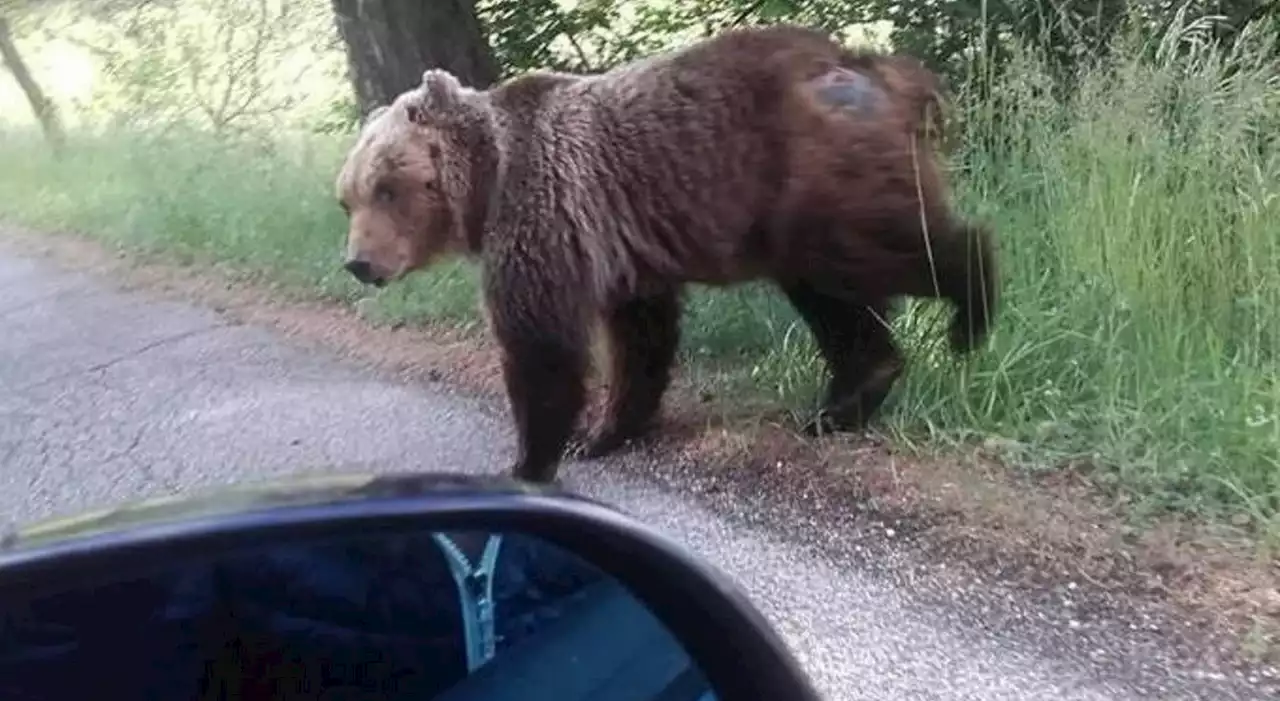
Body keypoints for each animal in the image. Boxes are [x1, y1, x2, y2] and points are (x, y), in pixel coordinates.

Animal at [337, 21, 998, 480]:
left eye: (387, 186)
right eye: (348, 199)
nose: (358, 263)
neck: (486, 180)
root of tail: (868, 66)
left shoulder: (543, 212)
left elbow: (539, 343)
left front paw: (532, 457)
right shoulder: (621, 251)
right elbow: (640, 339)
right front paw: (605, 432)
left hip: (806, 176)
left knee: (870, 253)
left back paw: (970, 307)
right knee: (835, 297)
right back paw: (843, 403)